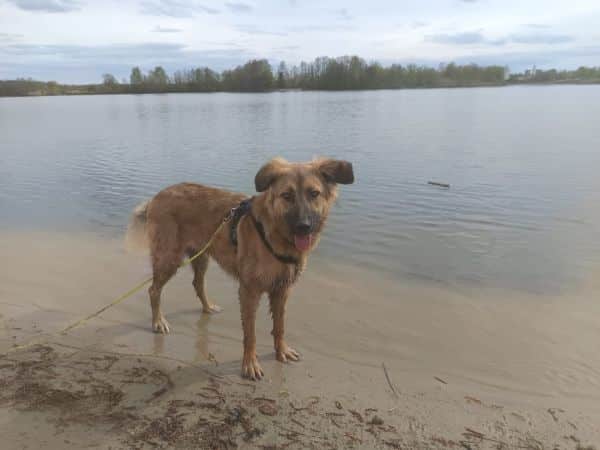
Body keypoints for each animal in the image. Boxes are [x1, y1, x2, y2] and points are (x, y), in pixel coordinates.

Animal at [126, 157, 354, 379]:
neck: (274, 234)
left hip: (201, 256)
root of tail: (156, 198)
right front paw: (250, 364)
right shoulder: (249, 292)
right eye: (287, 195)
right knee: (153, 290)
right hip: (169, 259)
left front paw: (281, 350)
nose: (303, 226)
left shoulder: (282, 290)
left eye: (314, 193)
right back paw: (158, 321)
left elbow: (279, 326)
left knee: (197, 283)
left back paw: (207, 307)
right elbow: (250, 333)